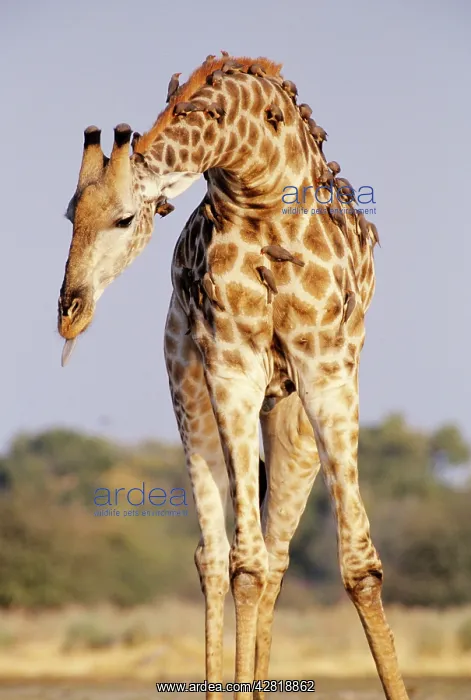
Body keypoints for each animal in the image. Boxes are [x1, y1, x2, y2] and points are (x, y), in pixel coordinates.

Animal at [57, 54, 408, 700]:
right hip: (187, 388)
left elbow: (359, 566)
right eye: (71, 214)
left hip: (294, 425)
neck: (256, 173)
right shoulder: (231, 366)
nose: (70, 311)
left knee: (277, 554)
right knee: (219, 554)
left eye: (124, 218)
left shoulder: (327, 368)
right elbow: (243, 564)